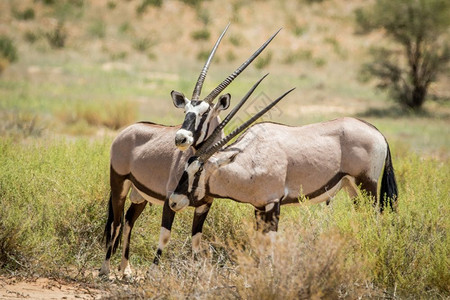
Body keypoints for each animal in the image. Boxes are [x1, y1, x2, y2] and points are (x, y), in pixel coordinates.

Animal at [100, 24, 282, 278]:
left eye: (204, 113)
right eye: (186, 111)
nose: (180, 138)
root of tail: (127, 130)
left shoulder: (204, 206)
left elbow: (197, 241)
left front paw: (198, 274)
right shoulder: (170, 200)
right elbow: (165, 236)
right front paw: (153, 274)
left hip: (140, 195)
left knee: (128, 221)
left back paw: (126, 269)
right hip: (119, 185)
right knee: (116, 222)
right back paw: (105, 269)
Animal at [168, 92, 398, 236]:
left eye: (198, 170)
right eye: (185, 167)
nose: (173, 201)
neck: (251, 156)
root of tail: (378, 133)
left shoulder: (273, 203)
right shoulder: (259, 207)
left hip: (367, 184)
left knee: (375, 216)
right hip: (353, 188)